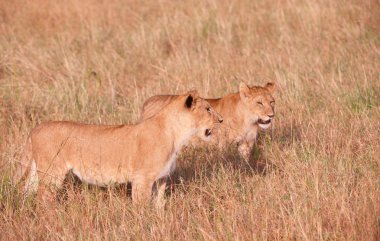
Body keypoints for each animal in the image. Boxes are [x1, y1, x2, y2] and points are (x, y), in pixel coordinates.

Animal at [13, 91, 224, 205]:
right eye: (208, 109)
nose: (221, 120)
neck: (176, 135)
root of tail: (36, 128)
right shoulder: (142, 179)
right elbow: (142, 207)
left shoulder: (161, 179)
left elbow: (159, 205)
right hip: (52, 174)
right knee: (43, 198)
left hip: (37, 172)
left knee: (26, 192)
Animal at [141, 82, 274, 161]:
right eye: (259, 103)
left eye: (272, 102)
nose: (271, 115)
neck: (248, 121)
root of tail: (147, 102)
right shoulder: (222, 144)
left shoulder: (245, 144)